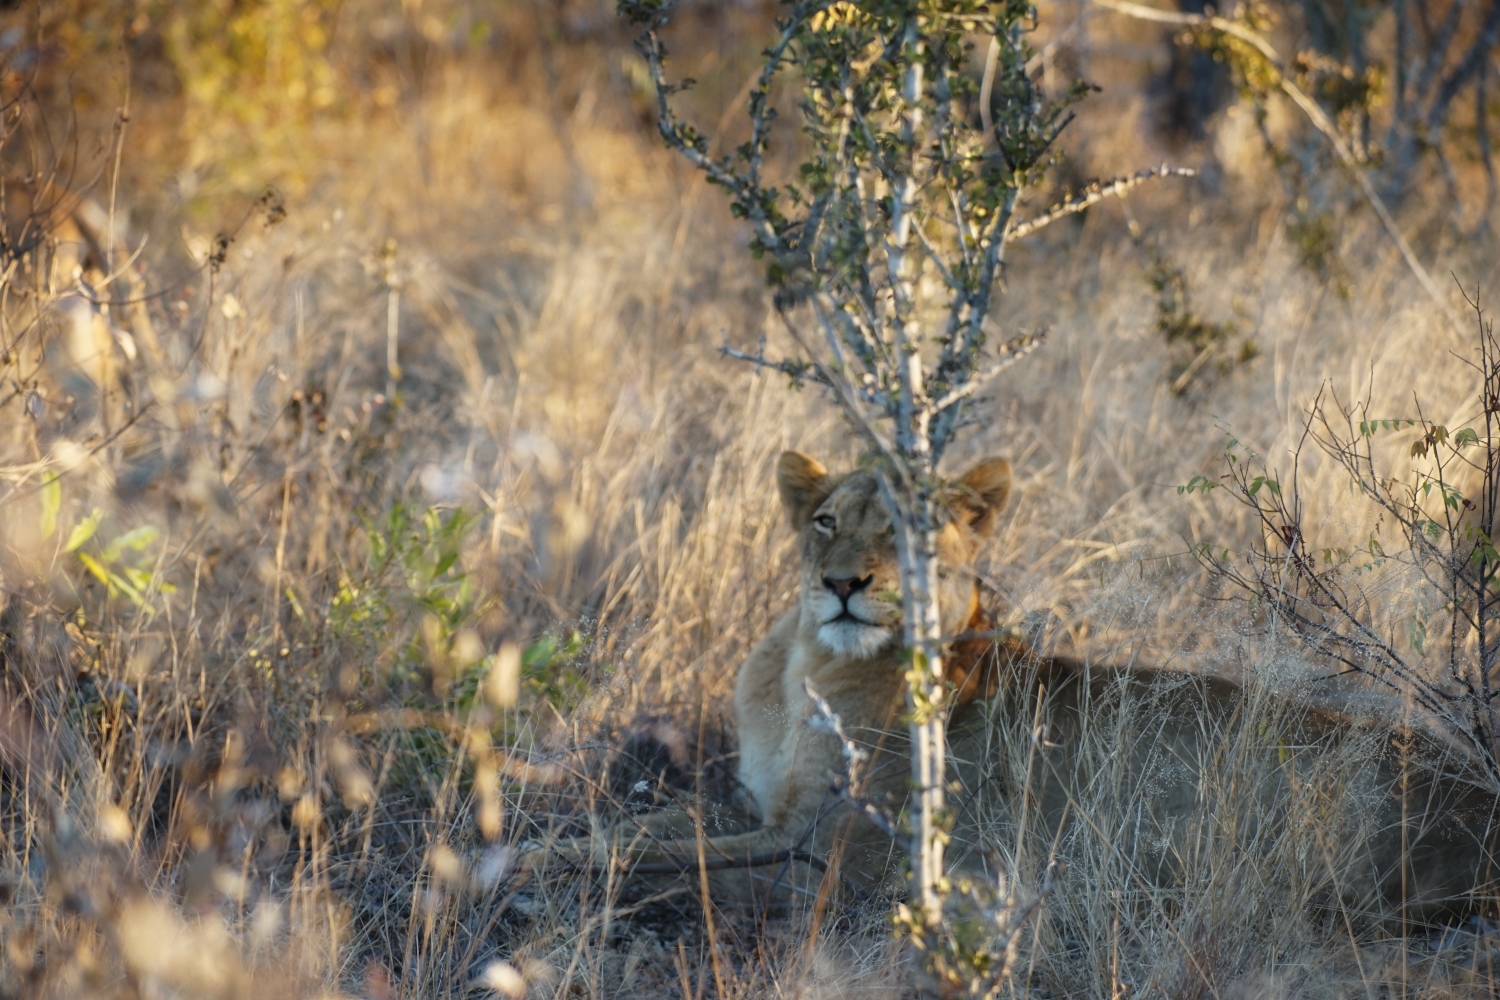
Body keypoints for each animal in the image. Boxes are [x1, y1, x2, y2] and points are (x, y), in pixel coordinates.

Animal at [525, 449, 1500, 929]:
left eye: (906, 534)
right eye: (825, 522)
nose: (842, 584)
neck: (808, 664)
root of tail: (1476, 792)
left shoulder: (838, 852)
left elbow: (660, 851)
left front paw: (541, 867)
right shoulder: (771, 811)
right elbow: (656, 823)